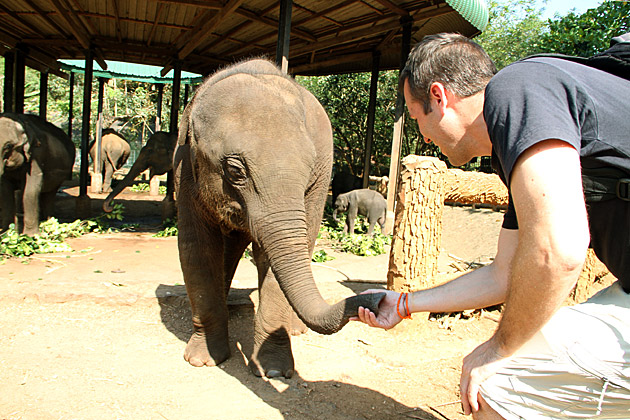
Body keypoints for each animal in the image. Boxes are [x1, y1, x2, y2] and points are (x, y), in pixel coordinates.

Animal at [174, 58, 386, 378]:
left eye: (309, 170)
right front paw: (202, 360)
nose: (378, 299)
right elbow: (196, 248)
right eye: (235, 171)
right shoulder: (185, 170)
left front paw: (272, 371)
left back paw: (295, 328)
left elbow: (272, 259)